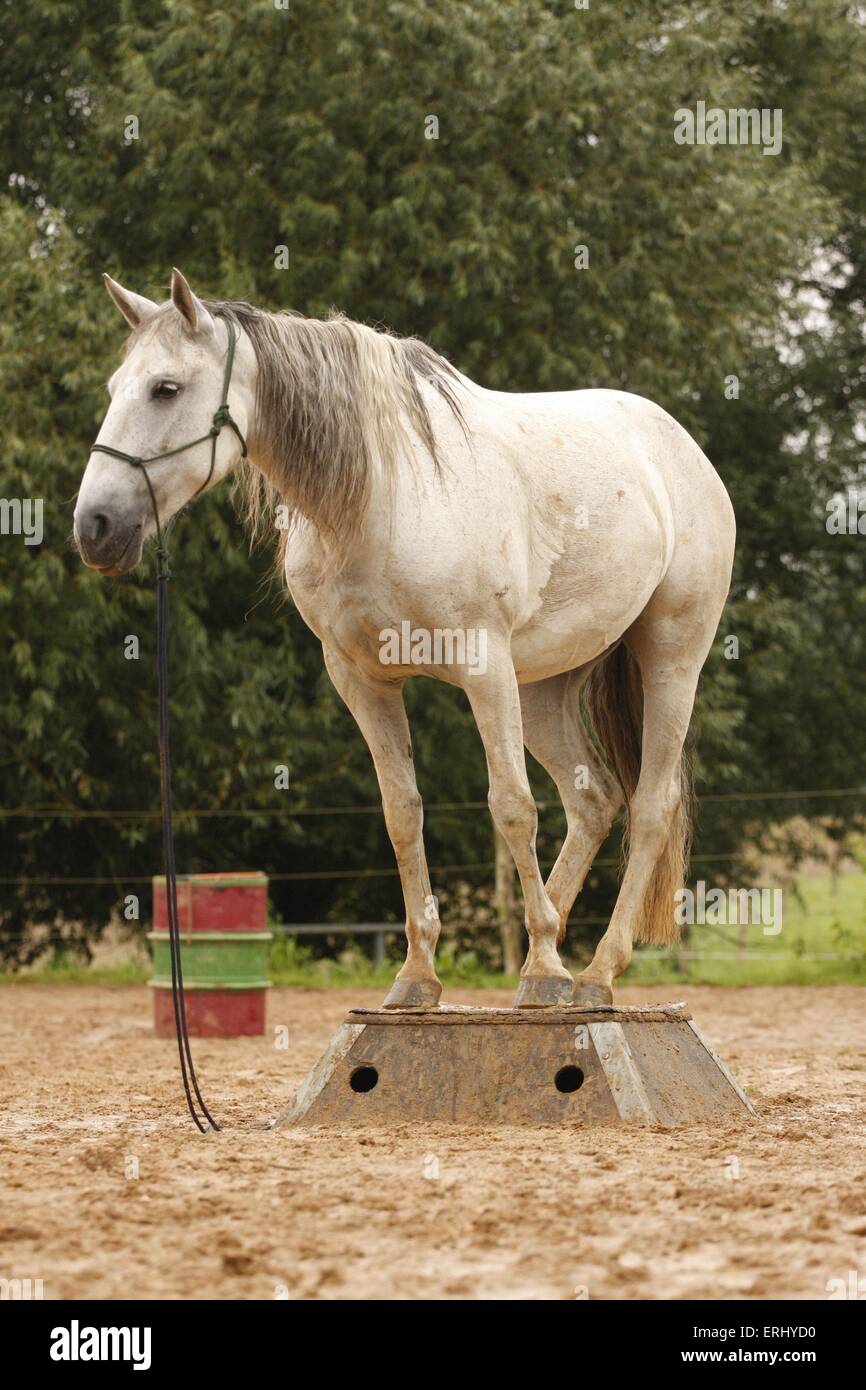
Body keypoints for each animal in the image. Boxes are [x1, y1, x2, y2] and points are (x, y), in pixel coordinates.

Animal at [77, 271, 733, 1011]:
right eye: (115, 387)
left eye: (165, 388)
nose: (95, 526)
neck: (381, 497)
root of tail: (679, 447)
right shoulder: (362, 681)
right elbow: (402, 814)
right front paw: (418, 976)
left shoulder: (483, 668)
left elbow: (511, 807)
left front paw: (540, 967)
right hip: (543, 687)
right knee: (592, 801)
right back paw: (546, 962)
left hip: (670, 660)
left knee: (649, 806)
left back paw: (587, 973)